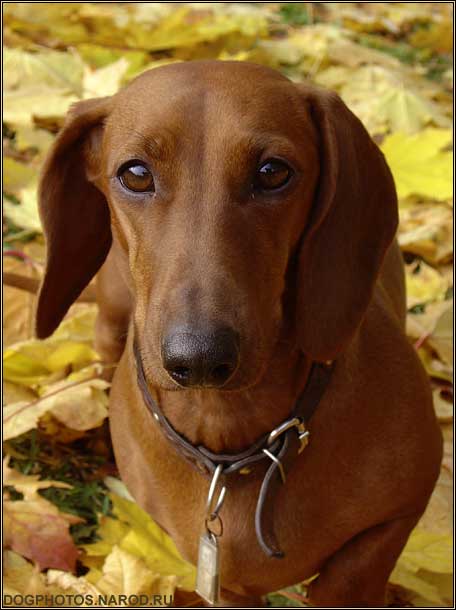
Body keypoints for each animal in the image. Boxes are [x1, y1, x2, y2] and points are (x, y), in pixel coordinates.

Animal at [35, 61, 442, 604]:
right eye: (135, 174)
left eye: (273, 172)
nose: (200, 358)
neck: (232, 444)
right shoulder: (223, 580)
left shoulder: (400, 511)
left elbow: (352, 575)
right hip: (111, 313)